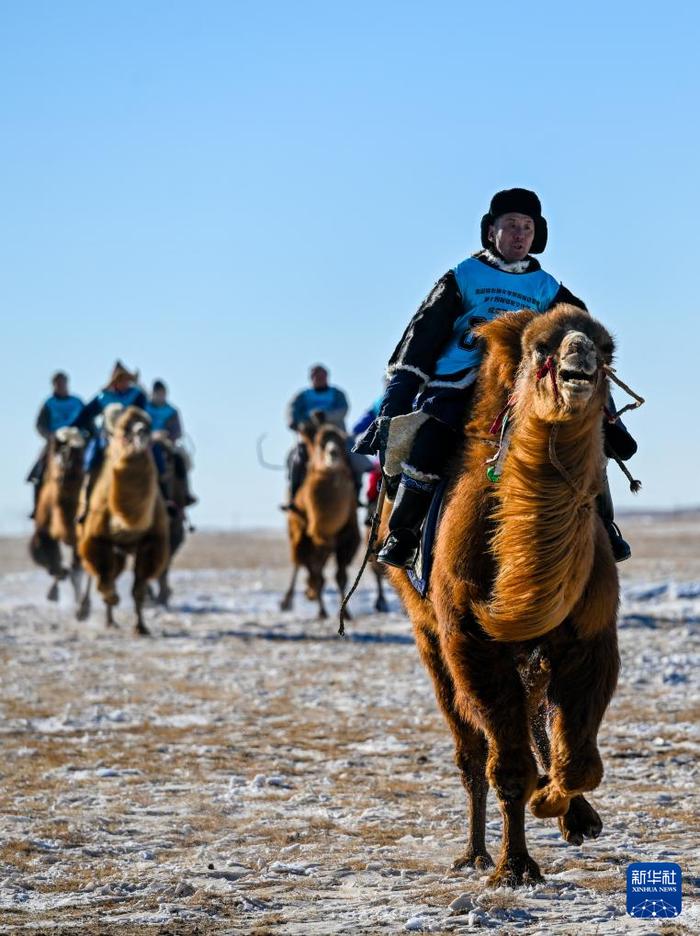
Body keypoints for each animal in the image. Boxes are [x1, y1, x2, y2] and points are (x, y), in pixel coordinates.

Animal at [29, 428, 86, 604]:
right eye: (60, 448)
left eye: (79, 453)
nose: (67, 465)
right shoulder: (42, 529)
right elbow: (46, 556)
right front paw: (53, 591)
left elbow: (77, 569)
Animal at [76, 404, 170, 636]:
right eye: (124, 430)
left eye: (148, 423)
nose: (142, 431)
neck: (127, 522)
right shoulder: (97, 538)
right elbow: (104, 578)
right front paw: (111, 598)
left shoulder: (150, 542)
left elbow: (139, 589)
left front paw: (141, 627)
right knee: (96, 573)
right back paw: (94, 613)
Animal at [280, 418, 360, 620]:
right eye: (320, 443)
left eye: (341, 441)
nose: (333, 453)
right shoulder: (307, 537)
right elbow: (316, 574)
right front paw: (322, 611)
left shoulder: (347, 536)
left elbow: (340, 576)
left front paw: (346, 613)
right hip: (297, 533)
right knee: (300, 564)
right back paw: (288, 601)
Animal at [382, 306, 624, 884]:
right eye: (541, 348)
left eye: (607, 349)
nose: (580, 354)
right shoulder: (469, 640)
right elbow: (508, 765)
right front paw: (515, 867)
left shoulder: (591, 636)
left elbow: (582, 761)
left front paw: (561, 806)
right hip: (428, 635)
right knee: (471, 750)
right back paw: (474, 853)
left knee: (534, 719)